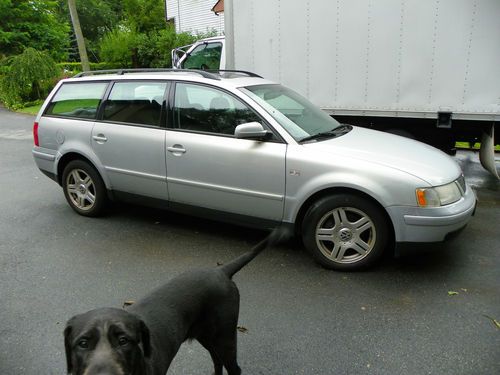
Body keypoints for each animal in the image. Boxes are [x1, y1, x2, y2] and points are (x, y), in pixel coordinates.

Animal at [64, 228, 288, 374]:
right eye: (83, 343)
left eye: (123, 340)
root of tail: (221, 270)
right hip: (207, 337)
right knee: (217, 361)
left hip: (225, 337)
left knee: (234, 368)